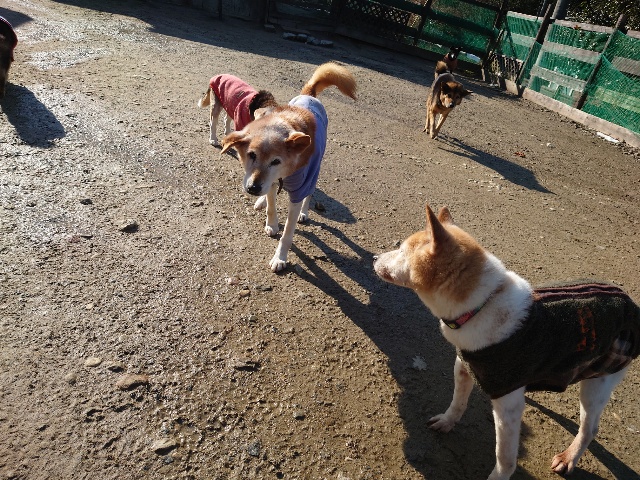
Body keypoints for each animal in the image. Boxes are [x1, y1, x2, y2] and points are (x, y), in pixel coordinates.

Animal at [220, 62, 356, 272]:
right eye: (252, 155)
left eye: (276, 161)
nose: (253, 188)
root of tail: (309, 94)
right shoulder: (269, 181)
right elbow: (271, 206)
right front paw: (272, 223)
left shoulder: (297, 188)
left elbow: (287, 233)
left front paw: (280, 258)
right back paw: (261, 201)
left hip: (315, 170)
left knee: (309, 194)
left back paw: (304, 213)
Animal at [374, 204, 640, 480]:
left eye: (402, 251)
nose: (373, 258)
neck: (481, 306)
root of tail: (630, 302)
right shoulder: (463, 368)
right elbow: (457, 403)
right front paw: (447, 422)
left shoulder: (508, 408)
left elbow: (505, 457)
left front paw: (498, 476)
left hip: (598, 383)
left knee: (590, 428)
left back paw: (569, 458)